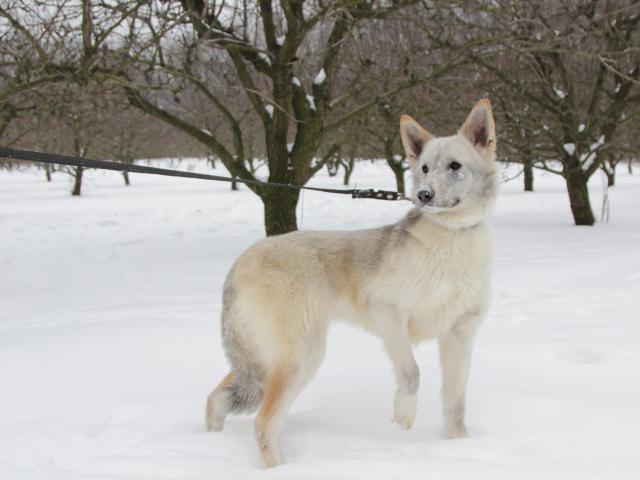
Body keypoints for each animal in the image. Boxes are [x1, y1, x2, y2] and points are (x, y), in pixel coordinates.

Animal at [208, 98, 498, 468]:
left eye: (454, 166)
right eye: (425, 168)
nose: (423, 194)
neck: (452, 238)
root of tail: (239, 262)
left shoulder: (460, 336)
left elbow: (456, 407)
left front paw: (460, 448)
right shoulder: (388, 313)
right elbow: (412, 373)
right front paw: (403, 418)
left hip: (262, 361)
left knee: (216, 398)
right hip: (301, 357)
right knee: (263, 422)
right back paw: (281, 468)